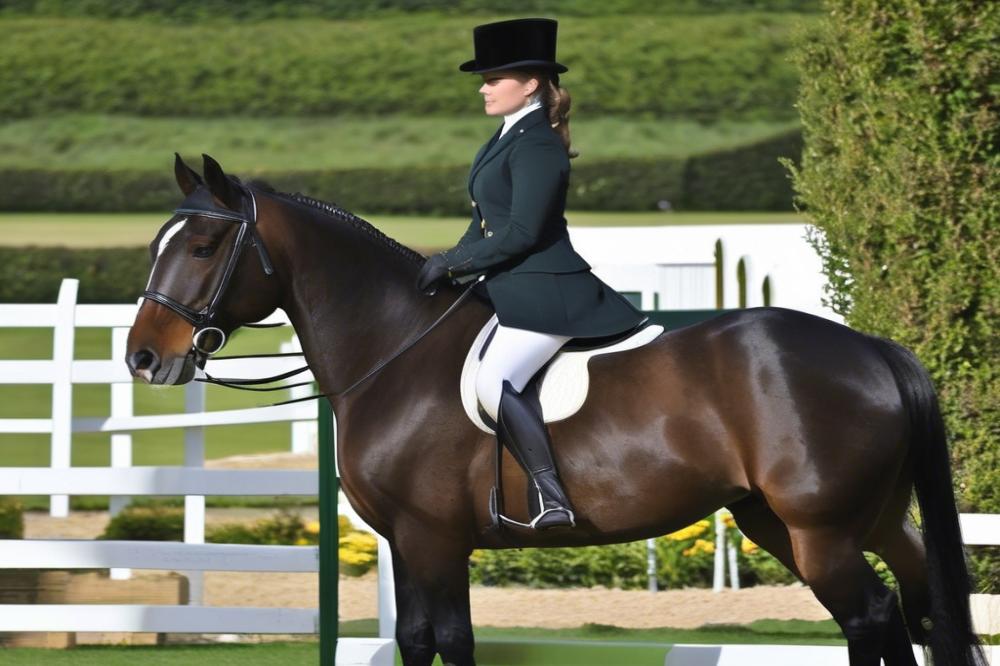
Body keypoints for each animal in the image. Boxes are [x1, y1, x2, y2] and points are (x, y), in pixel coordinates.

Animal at [127, 153, 984, 660]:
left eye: (203, 247)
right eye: (158, 243)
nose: (143, 357)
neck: (393, 350)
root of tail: (869, 348)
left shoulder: (435, 539)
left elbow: (452, 639)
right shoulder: (407, 540)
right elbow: (414, 638)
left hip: (822, 530)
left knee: (871, 615)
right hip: (835, 518)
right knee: (917, 606)